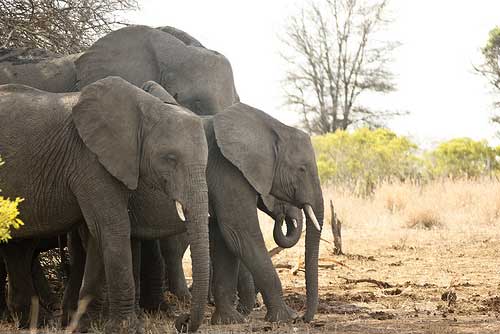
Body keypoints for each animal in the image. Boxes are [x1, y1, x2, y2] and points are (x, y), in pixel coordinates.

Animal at [0, 77, 209, 332]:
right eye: (170, 158)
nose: (182, 321)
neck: (145, 108)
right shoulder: (89, 160)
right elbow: (113, 229)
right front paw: (127, 328)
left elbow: (95, 235)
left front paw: (85, 325)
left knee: (20, 247)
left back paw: (36, 320)